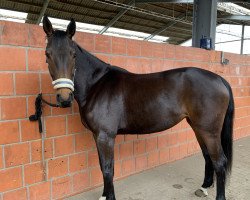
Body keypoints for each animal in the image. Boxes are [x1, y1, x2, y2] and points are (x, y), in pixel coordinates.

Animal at [42, 16, 233, 200]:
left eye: (73, 54)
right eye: (47, 54)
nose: (64, 98)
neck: (96, 84)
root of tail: (219, 79)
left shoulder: (106, 136)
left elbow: (108, 169)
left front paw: (109, 197)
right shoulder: (97, 136)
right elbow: (102, 166)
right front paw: (104, 195)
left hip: (209, 131)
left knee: (219, 161)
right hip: (198, 127)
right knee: (208, 156)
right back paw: (204, 187)